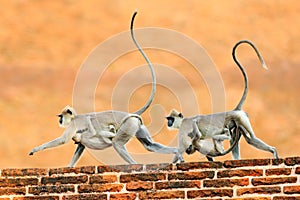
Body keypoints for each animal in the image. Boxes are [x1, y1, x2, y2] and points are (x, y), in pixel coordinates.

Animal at [29, 11, 183, 166]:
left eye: (61, 116)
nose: (60, 120)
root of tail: (128, 114)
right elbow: (80, 146)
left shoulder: (73, 125)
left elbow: (63, 140)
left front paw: (36, 149)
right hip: (136, 126)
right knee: (149, 145)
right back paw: (177, 153)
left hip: (128, 125)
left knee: (117, 143)